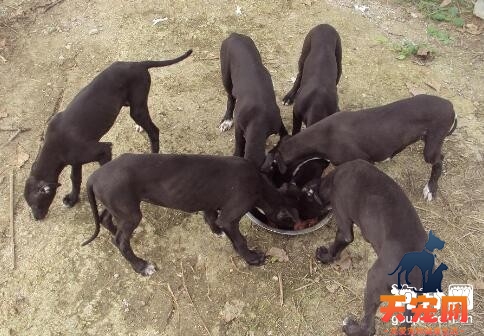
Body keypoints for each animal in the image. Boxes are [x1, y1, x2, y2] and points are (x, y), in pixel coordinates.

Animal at [23, 49, 192, 218]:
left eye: (37, 204)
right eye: (30, 204)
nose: (37, 218)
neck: (54, 148)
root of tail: (137, 64)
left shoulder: (103, 150)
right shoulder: (76, 160)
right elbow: (75, 179)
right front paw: (72, 199)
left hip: (137, 109)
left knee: (154, 131)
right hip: (133, 104)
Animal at [84, 154, 302, 276]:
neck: (260, 185)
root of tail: (94, 176)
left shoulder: (211, 203)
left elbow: (210, 217)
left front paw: (216, 231)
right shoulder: (231, 216)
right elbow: (239, 240)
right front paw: (252, 258)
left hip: (120, 206)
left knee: (107, 219)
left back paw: (116, 232)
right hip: (130, 212)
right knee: (121, 241)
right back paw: (141, 266)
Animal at [218, 32, 288, 167]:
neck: (259, 120)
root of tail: (234, 35)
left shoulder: (277, 122)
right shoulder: (239, 128)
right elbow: (239, 145)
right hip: (226, 75)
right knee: (230, 98)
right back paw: (227, 120)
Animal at [264, 93, 458, 201]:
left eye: (274, 166)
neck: (323, 135)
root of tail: (451, 106)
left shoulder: (362, 161)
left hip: (431, 148)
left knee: (439, 161)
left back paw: (431, 189)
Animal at [300, 160, 430, 336]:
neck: (332, 179)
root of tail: (414, 276)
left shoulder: (343, 224)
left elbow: (339, 243)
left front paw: (324, 257)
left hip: (374, 280)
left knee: (369, 327)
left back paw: (350, 327)